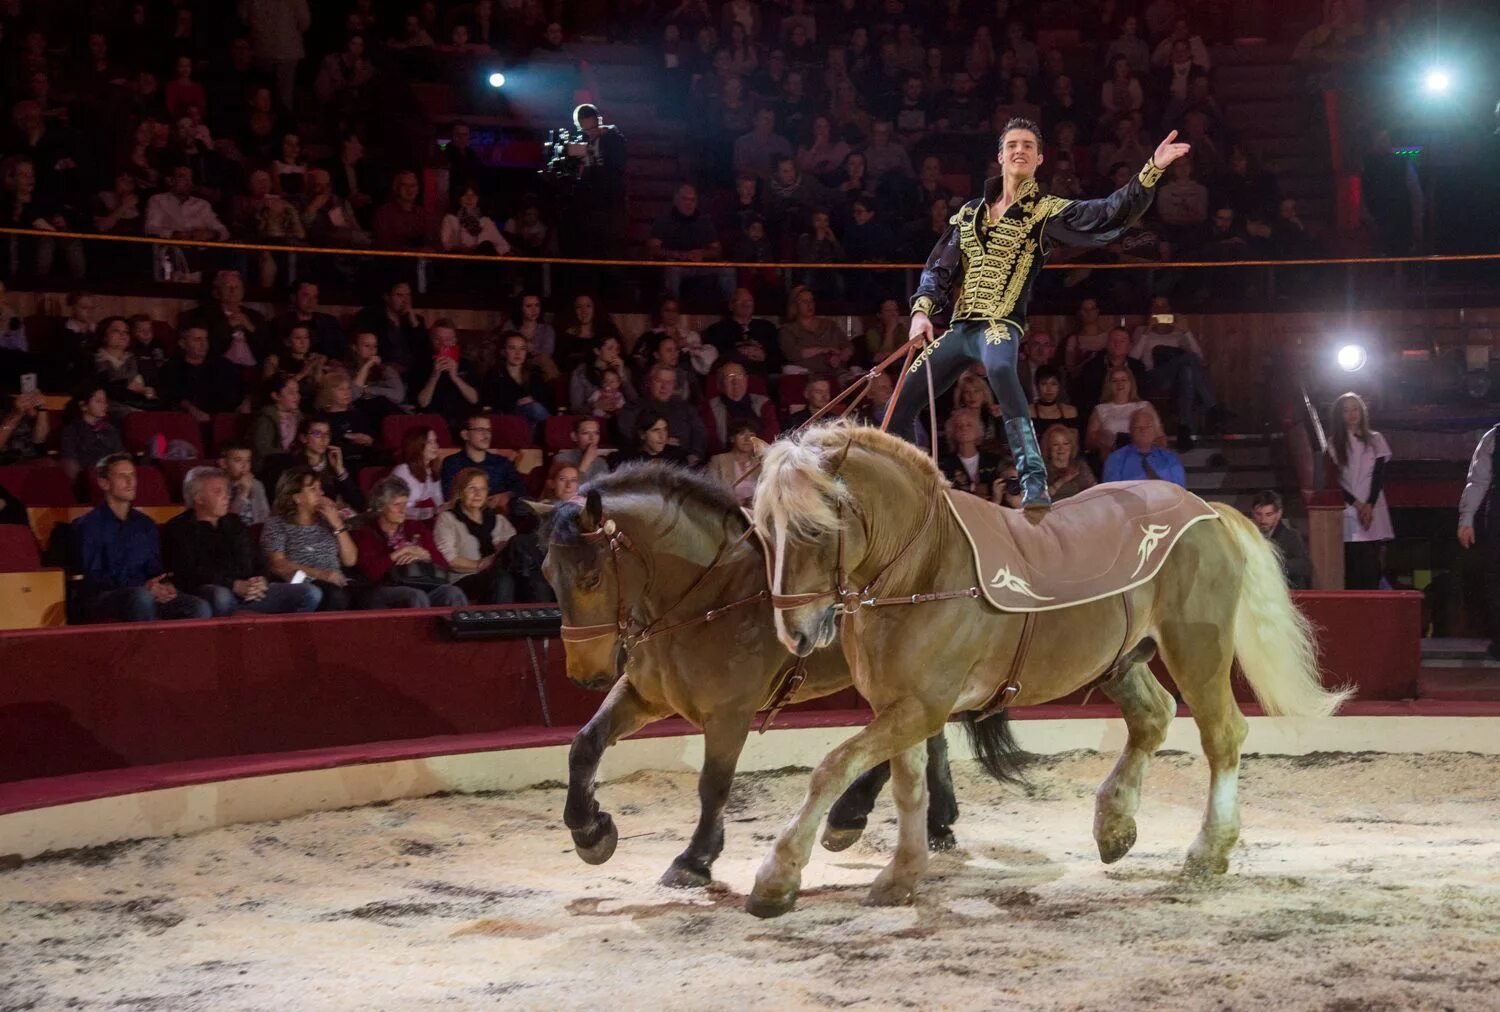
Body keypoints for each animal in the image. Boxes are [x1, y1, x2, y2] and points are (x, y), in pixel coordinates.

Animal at [537, 461, 960, 893]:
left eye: (591, 578)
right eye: (546, 573)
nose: (585, 675)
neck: (710, 595)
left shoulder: (729, 713)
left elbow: (714, 783)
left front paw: (695, 859)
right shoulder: (644, 696)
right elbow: (585, 745)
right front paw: (589, 831)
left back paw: (852, 814)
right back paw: (935, 822)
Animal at [750, 419, 1350, 917]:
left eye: (813, 530)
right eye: (763, 530)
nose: (794, 632)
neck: (924, 568)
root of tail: (1206, 509)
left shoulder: (922, 707)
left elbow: (835, 766)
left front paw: (778, 877)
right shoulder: (901, 707)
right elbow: (907, 786)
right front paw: (901, 874)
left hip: (1197, 649)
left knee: (1222, 734)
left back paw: (1208, 849)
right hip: (1122, 659)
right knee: (1153, 716)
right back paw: (1115, 825)